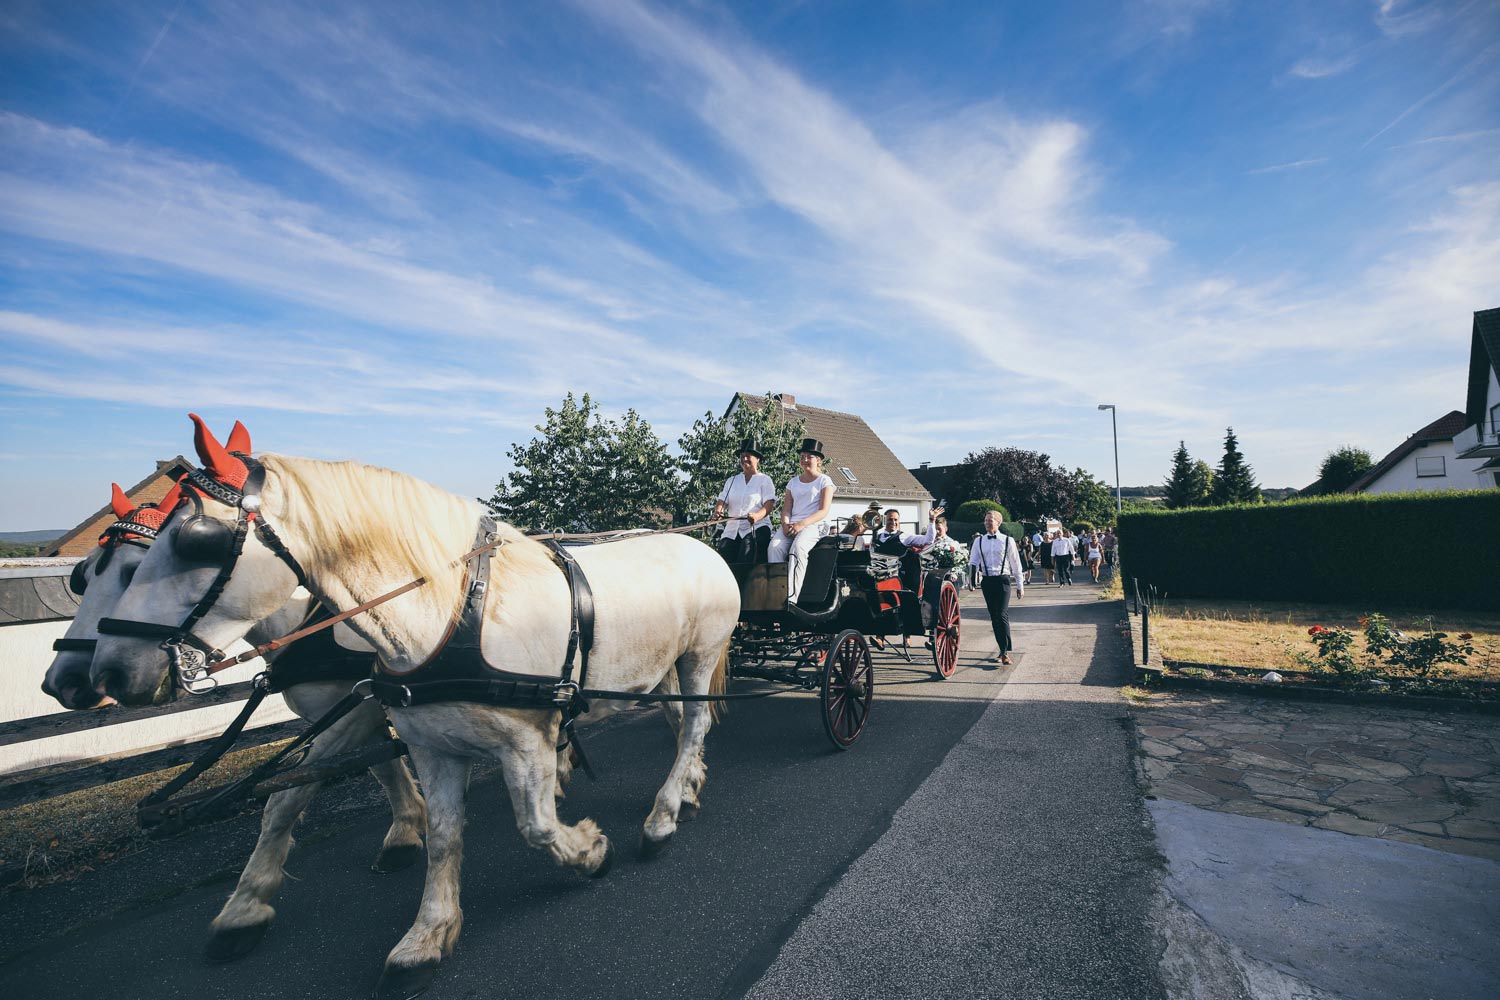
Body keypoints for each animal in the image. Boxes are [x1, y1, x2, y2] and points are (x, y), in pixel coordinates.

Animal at [42, 434, 429, 959]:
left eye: (131, 570)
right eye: (82, 577)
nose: (69, 680)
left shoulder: (353, 710)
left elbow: (284, 799)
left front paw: (245, 907)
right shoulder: (355, 707)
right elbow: (381, 767)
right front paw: (405, 833)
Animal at [90, 413, 741, 995]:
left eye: (194, 542)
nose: (109, 671)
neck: (451, 613)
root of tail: (700, 545)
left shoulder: (524, 741)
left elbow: (535, 827)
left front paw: (589, 851)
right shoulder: (429, 744)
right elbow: (442, 833)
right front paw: (425, 936)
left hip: (699, 655)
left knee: (694, 723)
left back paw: (662, 816)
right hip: (657, 670)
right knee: (682, 721)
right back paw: (687, 788)